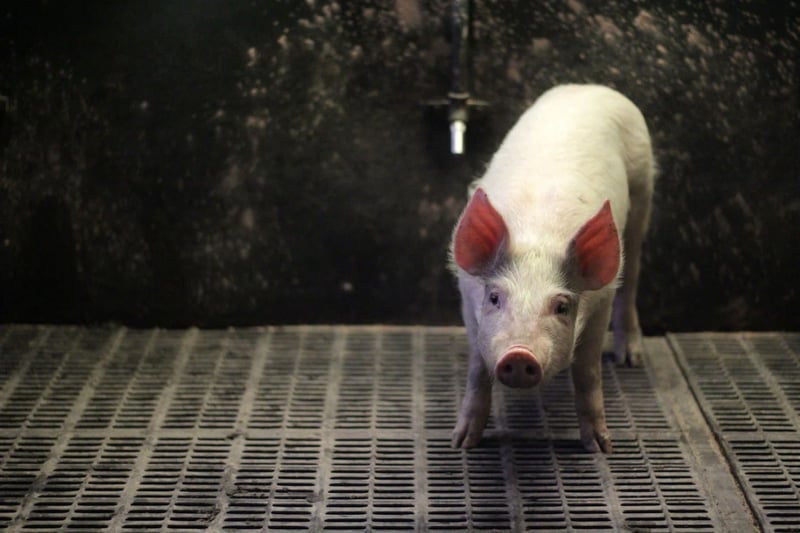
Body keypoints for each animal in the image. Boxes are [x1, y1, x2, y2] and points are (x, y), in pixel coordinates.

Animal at [449, 84, 655, 453]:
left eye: (561, 306)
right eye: (495, 298)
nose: (519, 355)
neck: (538, 236)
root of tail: (589, 87)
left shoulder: (601, 299)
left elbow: (587, 371)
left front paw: (600, 447)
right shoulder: (466, 294)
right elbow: (477, 370)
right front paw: (462, 443)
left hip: (643, 186)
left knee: (630, 276)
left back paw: (629, 360)